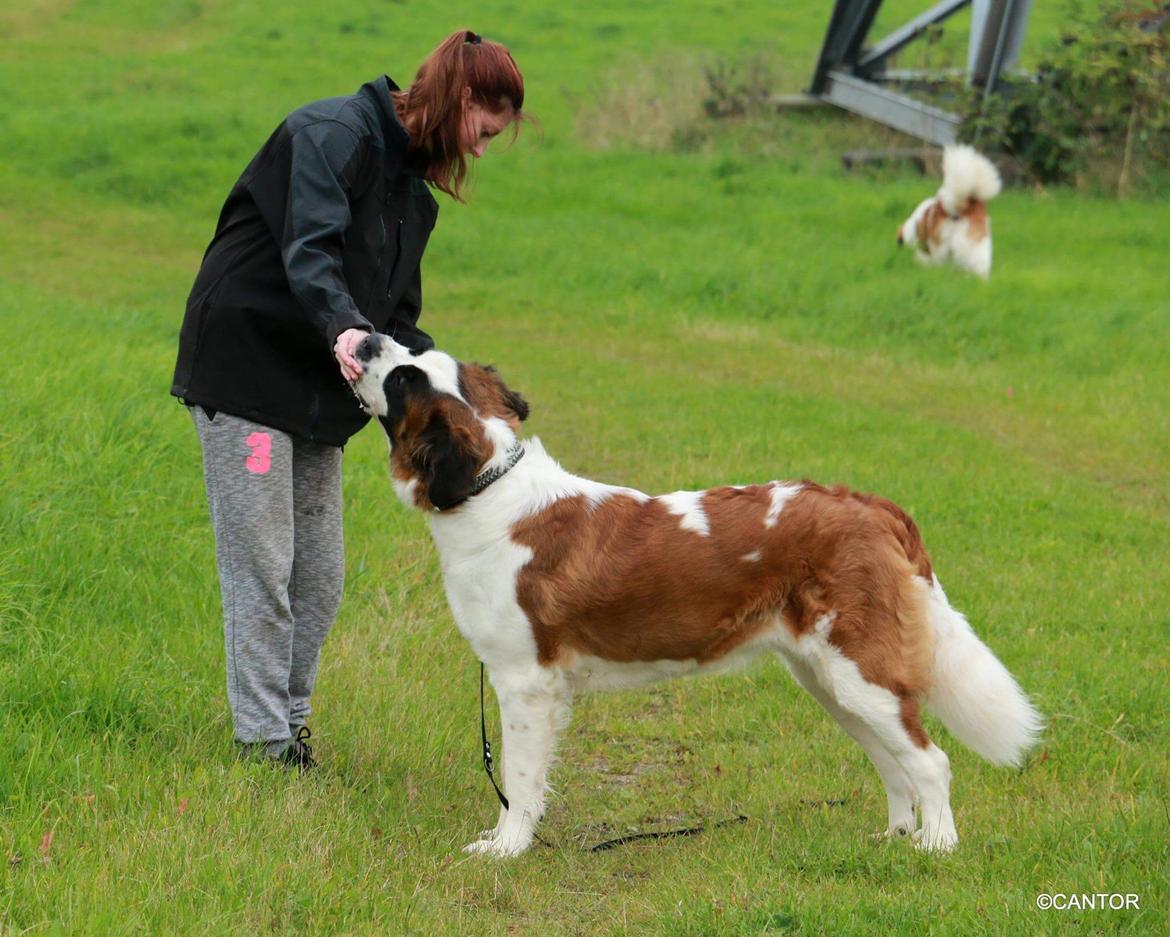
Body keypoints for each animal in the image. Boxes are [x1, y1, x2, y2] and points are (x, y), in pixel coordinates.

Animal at [348, 329, 1043, 856]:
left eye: (403, 377)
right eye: (413, 354)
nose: (370, 336)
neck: (491, 486)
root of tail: (872, 506)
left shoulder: (525, 682)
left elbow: (518, 779)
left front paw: (506, 849)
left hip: (859, 671)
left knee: (930, 761)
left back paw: (936, 848)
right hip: (832, 681)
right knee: (892, 761)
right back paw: (896, 837)